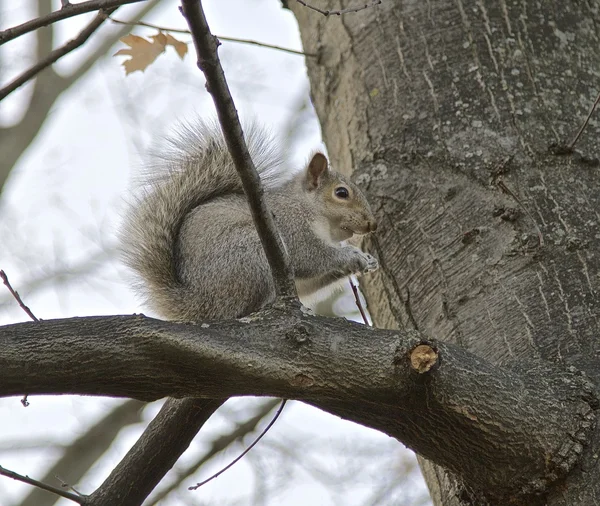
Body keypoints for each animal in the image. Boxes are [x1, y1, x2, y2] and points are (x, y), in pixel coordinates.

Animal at [119, 120, 378, 322]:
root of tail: (197, 302)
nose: (371, 224)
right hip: (248, 251)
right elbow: (310, 256)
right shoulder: (291, 226)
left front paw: (367, 261)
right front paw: (351, 255)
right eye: (341, 193)